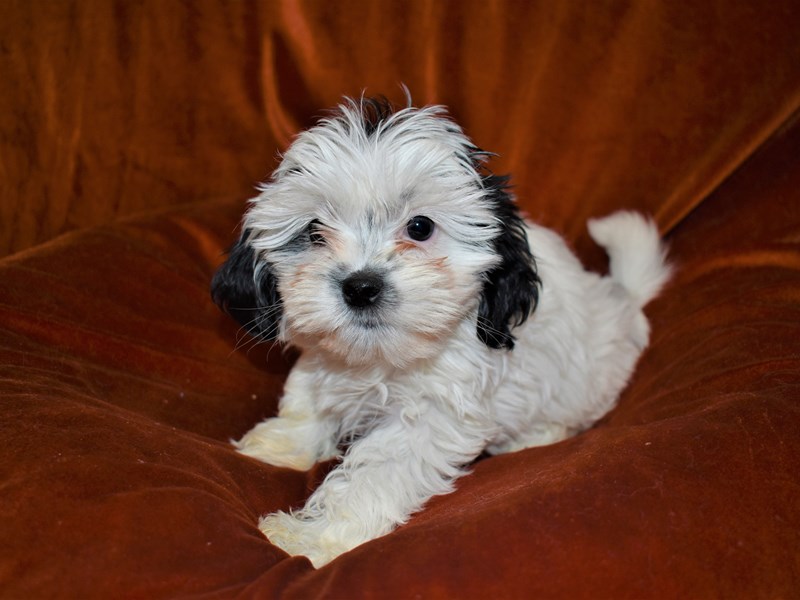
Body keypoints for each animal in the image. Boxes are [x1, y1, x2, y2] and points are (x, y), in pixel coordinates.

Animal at [211, 95, 668, 568]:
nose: (361, 287)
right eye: (314, 231)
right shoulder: (326, 358)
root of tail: (624, 299)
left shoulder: (434, 414)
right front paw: (280, 443)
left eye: (420, 227)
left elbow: (376, 472)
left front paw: (313, 538)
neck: (382, 358)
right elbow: (307, 397)